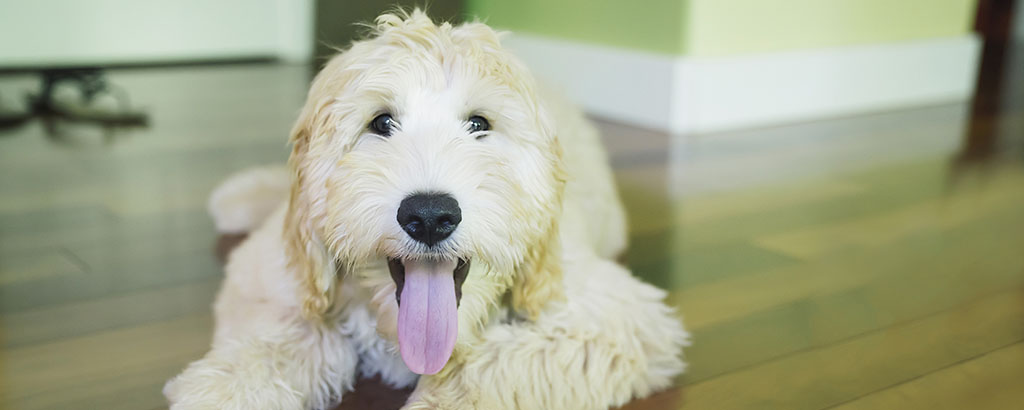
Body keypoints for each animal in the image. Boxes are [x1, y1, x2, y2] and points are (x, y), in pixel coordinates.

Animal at [163, 9, 688, 410]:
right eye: (381, 123)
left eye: (479, 124)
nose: (431, 216)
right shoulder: (269, 276)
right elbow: (282, 336)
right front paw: (225, 387)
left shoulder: (613, 318)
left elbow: (497, 366)